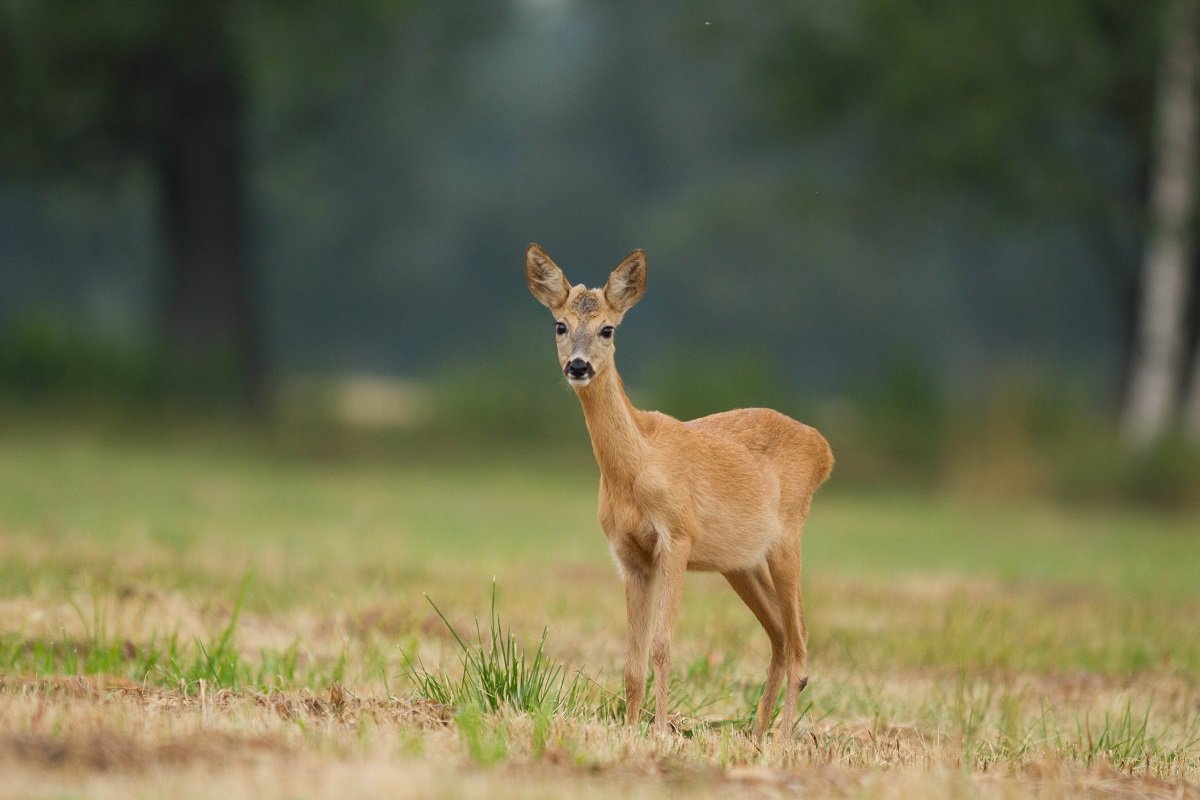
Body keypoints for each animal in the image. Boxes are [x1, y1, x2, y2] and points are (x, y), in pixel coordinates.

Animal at [525, 242, 835, 738]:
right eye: (560, 325)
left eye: (608, 328)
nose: (578, 365)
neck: (637, 468)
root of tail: (824, 449)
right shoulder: (629, 553)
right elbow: (631, 660)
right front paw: (631, 729)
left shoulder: (677, 536)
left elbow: (662, 646)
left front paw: (658, 731)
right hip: (740, 563)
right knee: (781, 635)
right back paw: (756, 735)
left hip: (788, 540)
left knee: (800, 641)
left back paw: (783, 738)